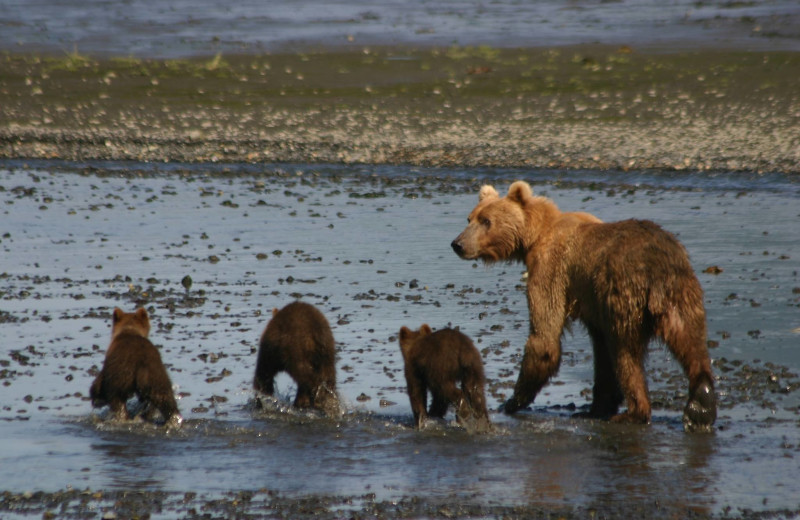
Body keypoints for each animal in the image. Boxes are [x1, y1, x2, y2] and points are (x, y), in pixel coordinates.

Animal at [450, 181, 720, 432]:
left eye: (486, 221)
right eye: (470, 218)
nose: (458, 244)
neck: (535, 237)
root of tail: (656, 264)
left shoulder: (551, 271)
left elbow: (545, 336)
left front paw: (512, 401)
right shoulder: (592, 302)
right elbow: (600, 351)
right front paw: (599, 404)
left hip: (625, 294)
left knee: (626, 352)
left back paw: (634, 413)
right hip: (682, 291)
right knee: (690, 341)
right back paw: (700, 405)